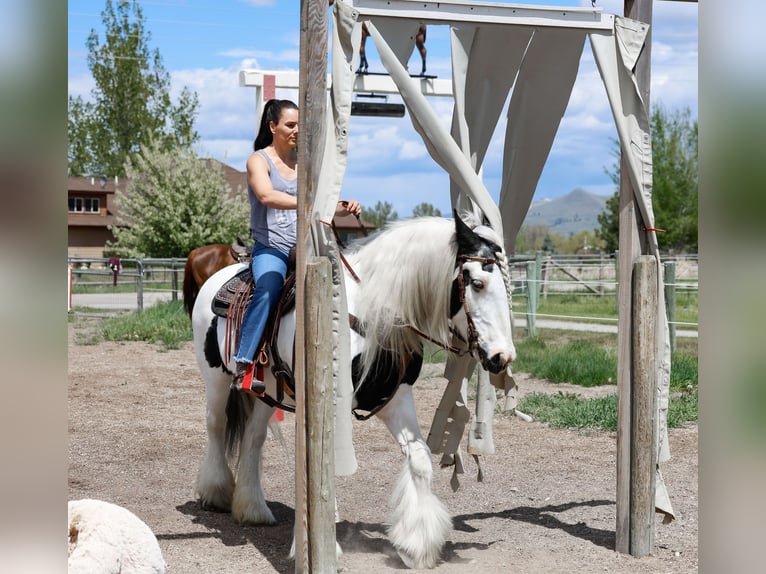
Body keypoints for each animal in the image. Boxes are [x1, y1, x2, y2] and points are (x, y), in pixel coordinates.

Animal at [190, 216, 516, 572]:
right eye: (477, 283)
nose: (502, 356)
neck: (370, 313)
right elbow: (324, 471)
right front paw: (321, 548)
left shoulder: (396, 399)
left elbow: (419, 460)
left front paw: (417, 546)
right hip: (216, 379)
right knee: (216, 426)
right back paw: (217, 492)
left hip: (268, 393)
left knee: (253, 438)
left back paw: (253, 510)